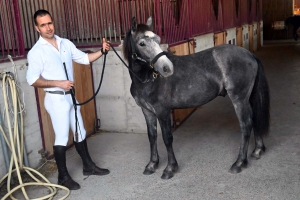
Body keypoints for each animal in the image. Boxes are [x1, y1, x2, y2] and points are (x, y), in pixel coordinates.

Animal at [122, 16, 270, 179]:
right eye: (142, 43)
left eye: (158, 39)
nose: (167, 68)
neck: (147, 78)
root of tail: (249, 54)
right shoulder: (147, 111)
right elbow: (152, 136)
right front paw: (152, 164)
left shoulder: (163, 111)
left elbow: (167, 138)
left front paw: (170, 168)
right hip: (248, 97)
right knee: (254, 118)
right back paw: (257, 150)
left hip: (239, 99)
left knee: (246, 124)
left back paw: (239, 163)